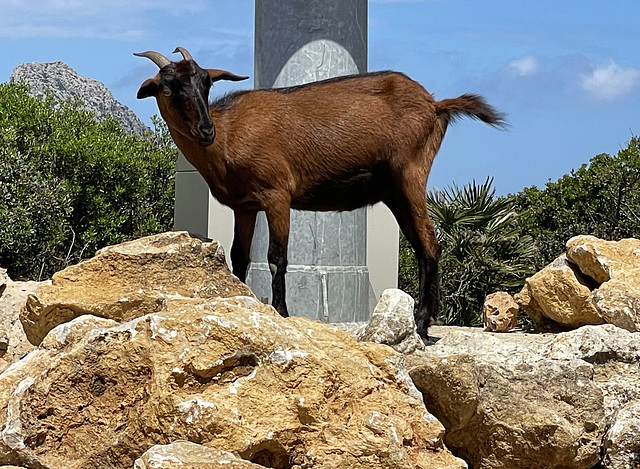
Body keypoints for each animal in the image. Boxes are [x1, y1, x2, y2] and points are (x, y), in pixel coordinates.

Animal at [135, 47, 504, 336]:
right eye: (167, 88)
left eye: (206, 83)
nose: (205, 130)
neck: (229, 135)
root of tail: (435, 104)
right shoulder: (246, 205)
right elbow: (240, 257)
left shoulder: (276, 194)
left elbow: (276, 258)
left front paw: (282, 312)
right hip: (396, 191)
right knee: (420, 244)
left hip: (411, 175)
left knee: (429, 242)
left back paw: (424, 324)